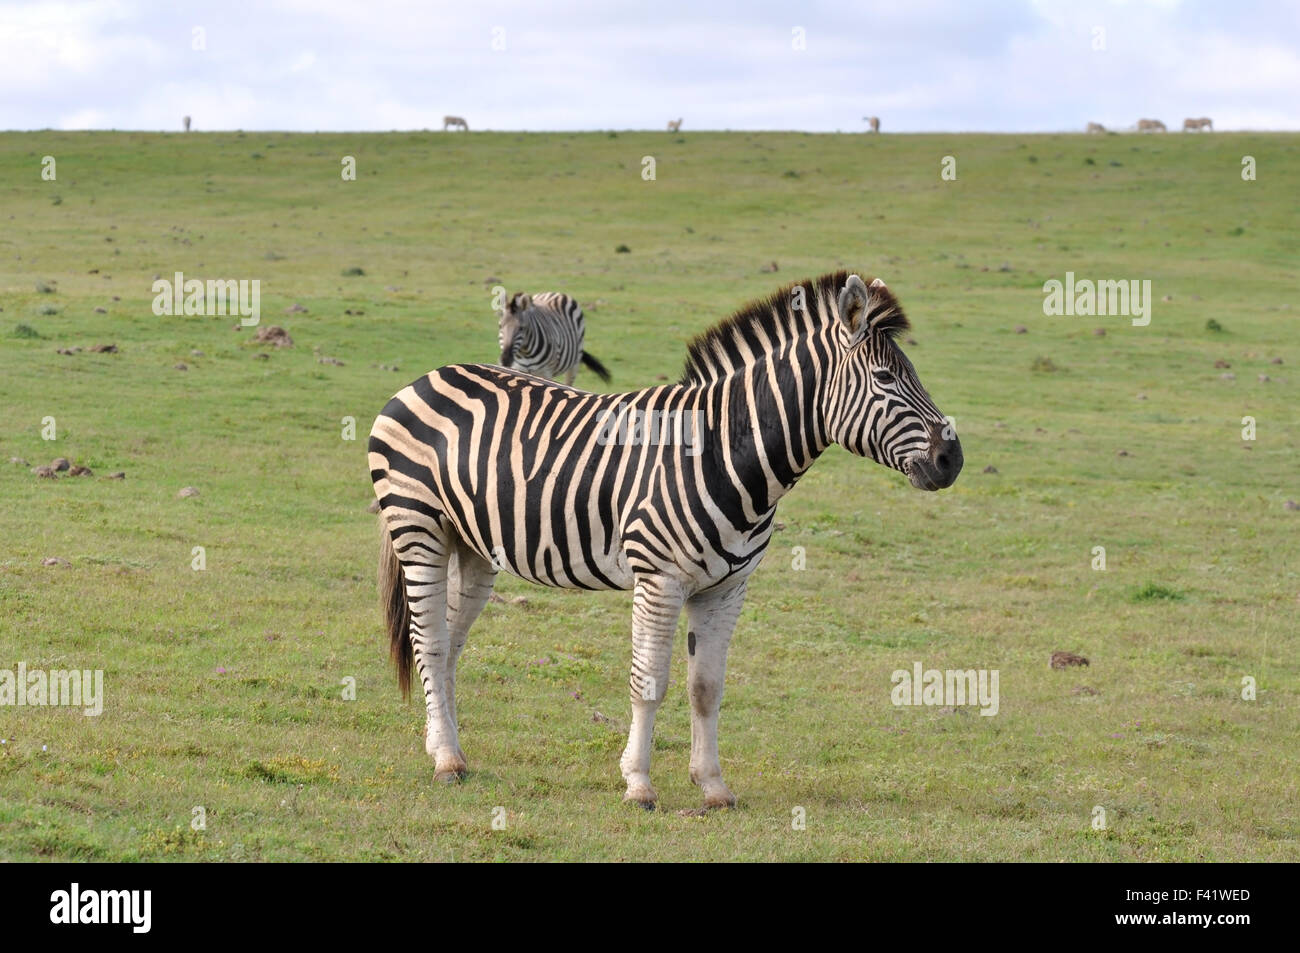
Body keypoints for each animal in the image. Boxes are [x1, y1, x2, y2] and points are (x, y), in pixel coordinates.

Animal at [371, 271, 961, 806]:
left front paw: (714, 786)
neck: (722, 451)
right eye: (885, 378)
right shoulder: (660, 579)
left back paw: (446, 750)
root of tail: (427, 376)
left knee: (449, 644)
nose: (951, 460)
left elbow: (707, 688)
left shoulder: (727, 588)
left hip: (473, 546)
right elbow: (649, 680)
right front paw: (638, 784)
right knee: (430, 641)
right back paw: (446, 763)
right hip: (419, 529)